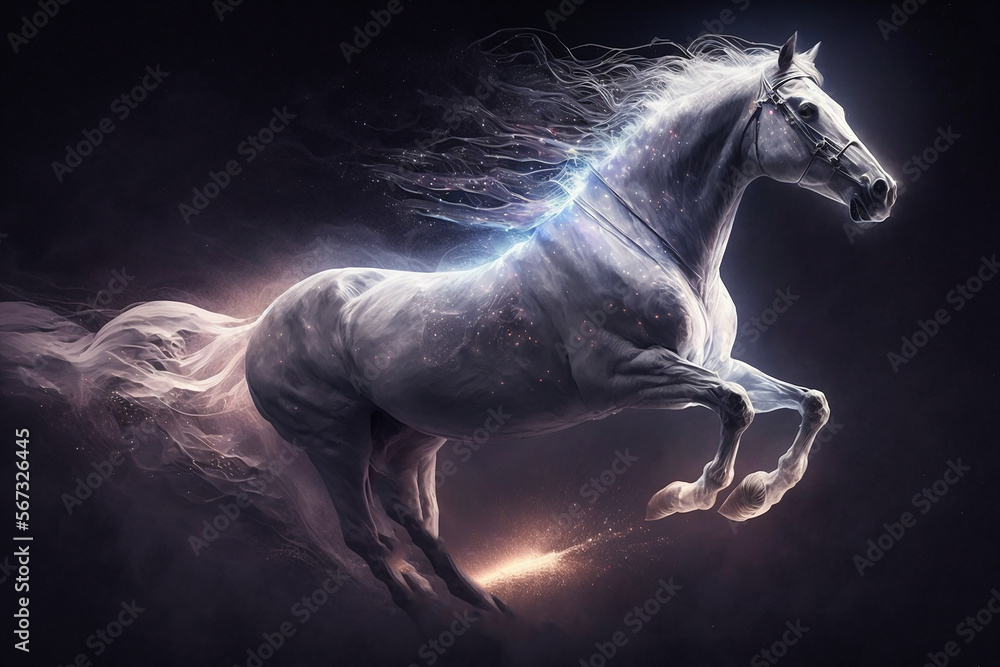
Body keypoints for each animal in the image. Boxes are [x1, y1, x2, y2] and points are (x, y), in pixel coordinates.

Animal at [0, 33, 896, 615]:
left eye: (837, 103)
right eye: (806, 111)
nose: (880, 192)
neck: (655, 240)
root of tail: (256, 327)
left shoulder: (713, 363)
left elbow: (807, 400)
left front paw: (754, 496)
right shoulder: (630, 376)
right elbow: (737, 409)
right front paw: (687, 497)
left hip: (409, 437)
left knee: (416, 524)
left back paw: (487, 609)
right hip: (332, 442)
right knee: (367, 539)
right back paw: (433, 615)